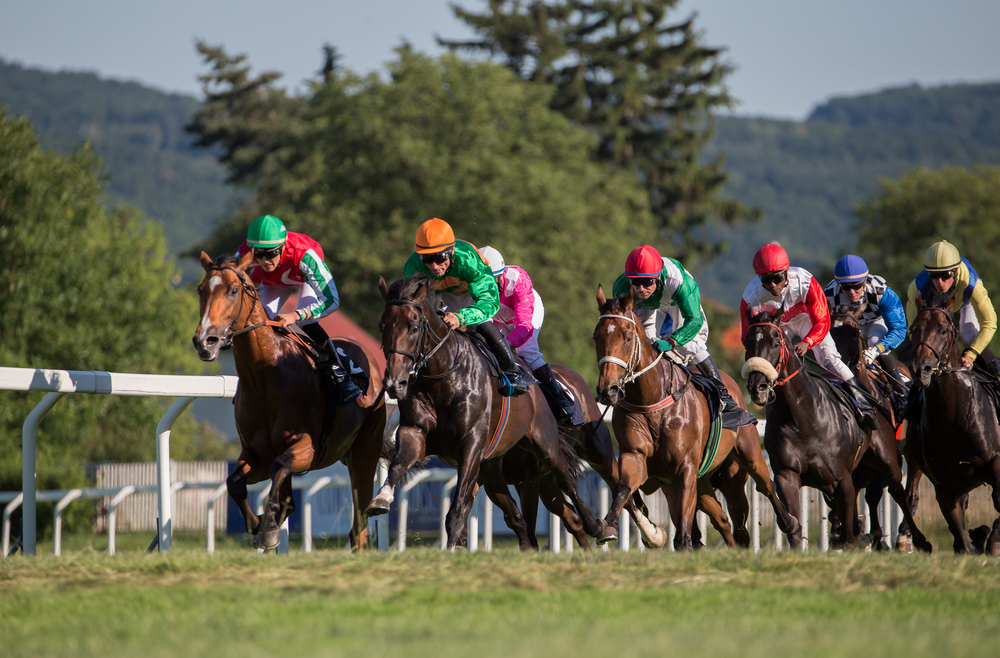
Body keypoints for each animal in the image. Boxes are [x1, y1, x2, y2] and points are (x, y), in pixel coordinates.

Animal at [191, 251, 386, 548]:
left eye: (233, 290)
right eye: (201, 290)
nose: (206, 341)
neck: (265, 376)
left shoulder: (307, 447)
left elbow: (280, 466)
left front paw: (270, 527)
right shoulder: (255, 453)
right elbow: (235, 482)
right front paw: (259, 522)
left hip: (366, 450)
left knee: (361, 520)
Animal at [366, 272, 600, 548]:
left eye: (414, 327)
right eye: (383, 326)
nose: (395, 383)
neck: (442, 379)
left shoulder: (472, 444)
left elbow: (458, 510)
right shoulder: (415, 432)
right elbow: (399, 465)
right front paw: (381, 498)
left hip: (545, 443)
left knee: (567, 480)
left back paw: (597, 525)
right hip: (493, 468)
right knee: (518, 517)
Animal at [592, 288, 796, 548]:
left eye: (627, 337)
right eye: (596, 337)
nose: (607, 390)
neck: (652, 401)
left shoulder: (686, 468)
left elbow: (684, 529)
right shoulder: (637, 457)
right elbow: (623, 488)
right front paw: (610, 526)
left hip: (747, 454)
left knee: (764, 486)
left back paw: (789, 522)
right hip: (704, 482)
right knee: (723, 520)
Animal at [740, 304, 932, 552]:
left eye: (775, 341)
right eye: (747, 342)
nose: (758, 387)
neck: (801, 418)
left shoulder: (842, 478)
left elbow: (850, 529)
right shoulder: (787, 475)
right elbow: (795, 528)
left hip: (889, 459)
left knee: (898, 491)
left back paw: (914, 539)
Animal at [900, 290, 1000, 552]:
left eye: (943, 329)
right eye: (913, 329)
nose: (921, 370)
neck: (955, 416)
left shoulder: (996, 462)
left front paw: (992, 539)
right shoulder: (944, 487)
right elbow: (960, 534)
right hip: (913, 459)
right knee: (910, 496)